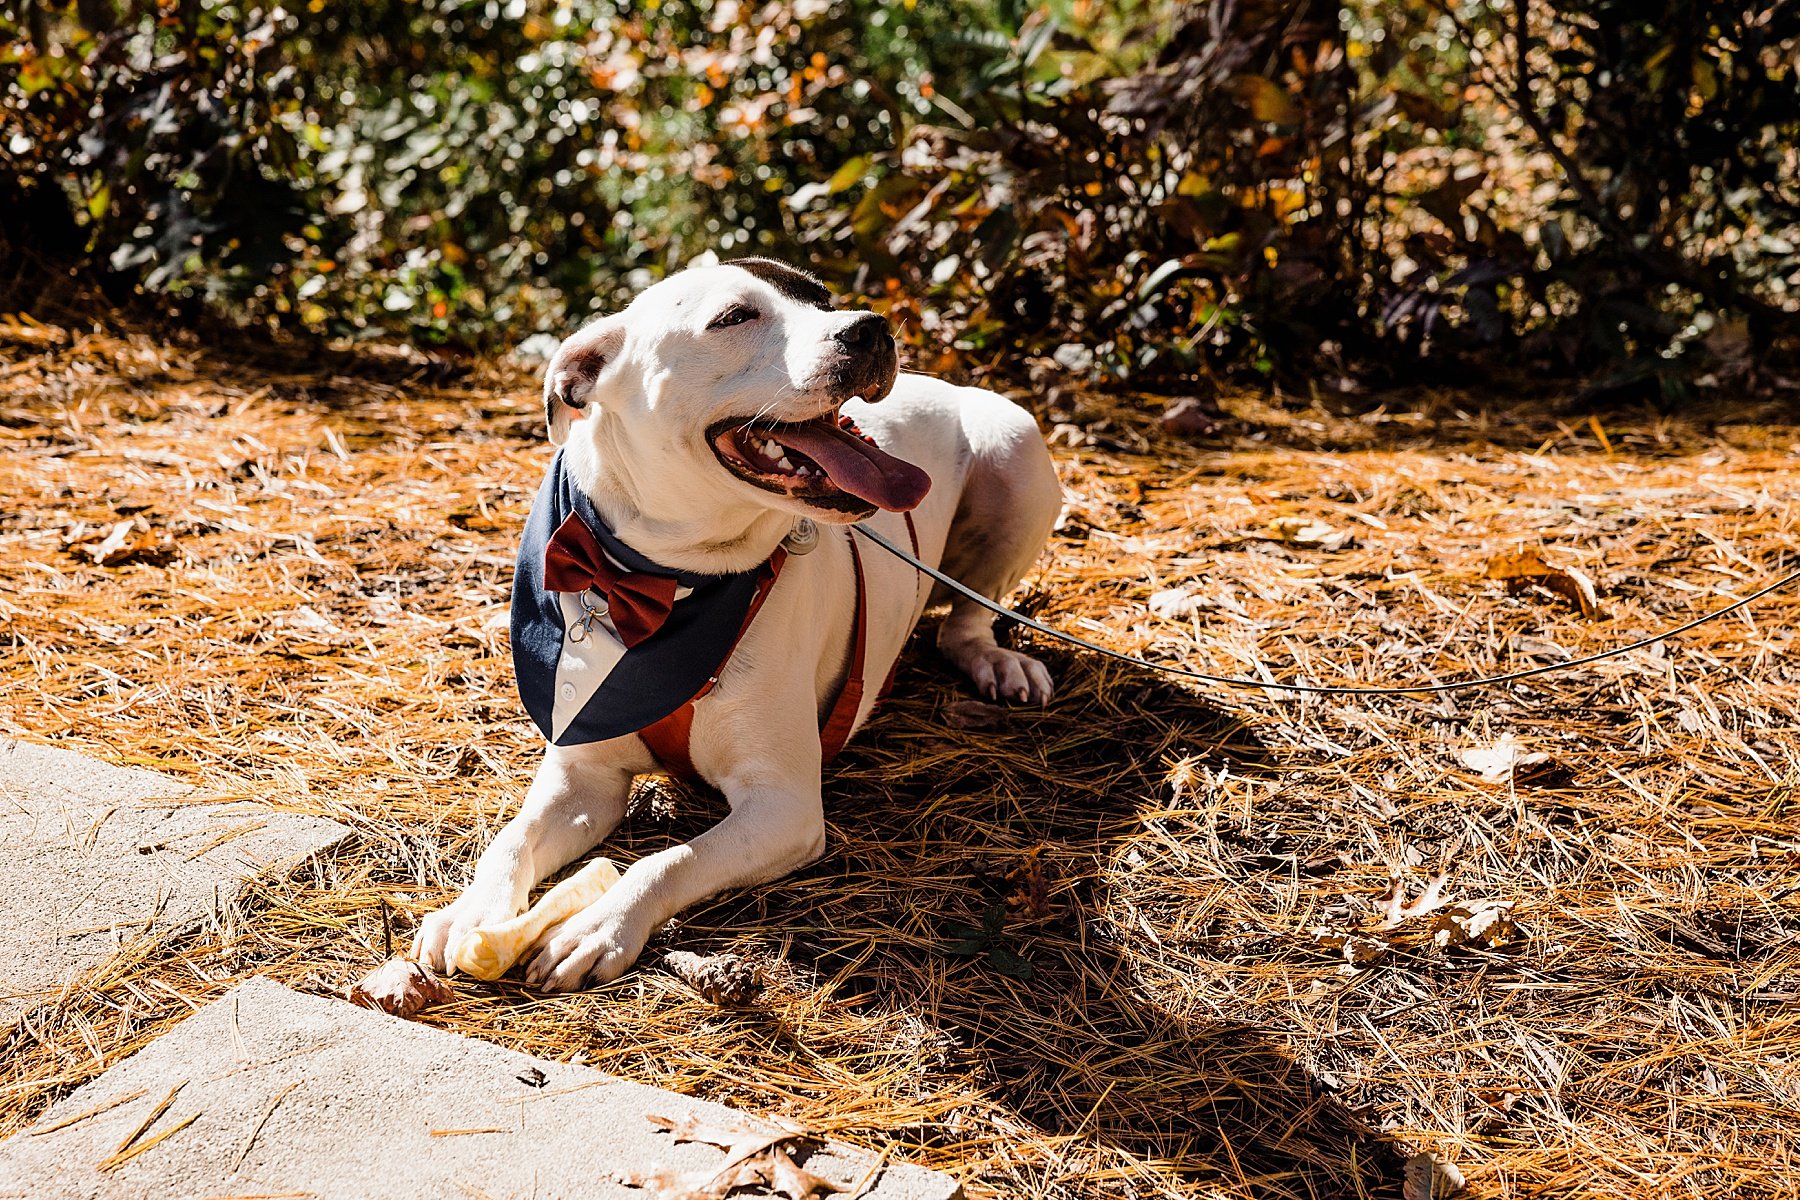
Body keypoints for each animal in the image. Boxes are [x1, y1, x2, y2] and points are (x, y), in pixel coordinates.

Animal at [412, 259, 1051, 993]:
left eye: (822, 297)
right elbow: (512, 839)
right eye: (734, 318)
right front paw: (472, 911)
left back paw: (997, 661)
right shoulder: (583, 779)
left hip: (1017, 448)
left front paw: (597, 926)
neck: (669, 584)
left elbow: (665, 861)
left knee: (968, 618)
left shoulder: (783, 806)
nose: (872, 327)